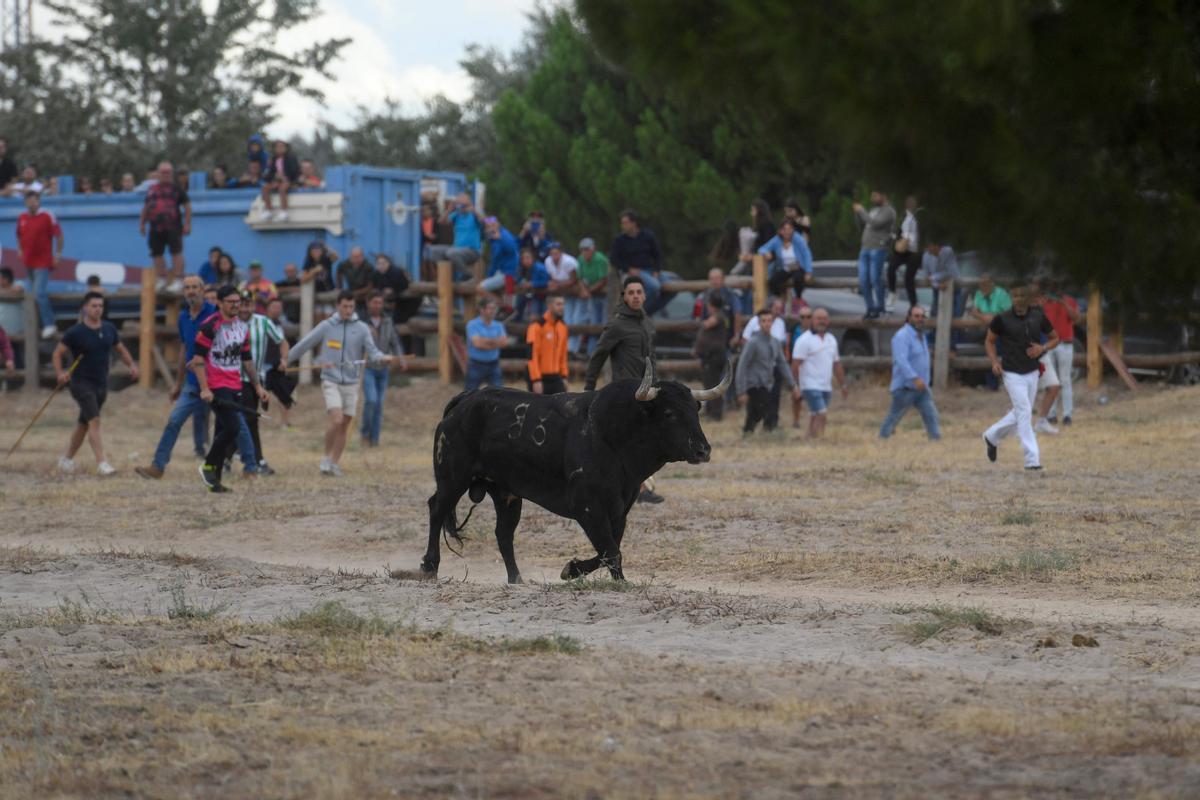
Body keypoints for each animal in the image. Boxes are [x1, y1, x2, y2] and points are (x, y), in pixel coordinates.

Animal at [422, 359, 729, 585]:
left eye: (695, 410)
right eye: (669, 413)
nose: (703, 450)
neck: (611, 434)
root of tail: (465, 400)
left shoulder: (620, 508)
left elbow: (610, 547)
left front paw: (573, 570)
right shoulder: (587, 507)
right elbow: (610, 549)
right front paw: (612, 580)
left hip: (506, 494)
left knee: (503, 533)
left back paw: (517, 579)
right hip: (453, 478)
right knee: (437, 508)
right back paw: (429, 566)